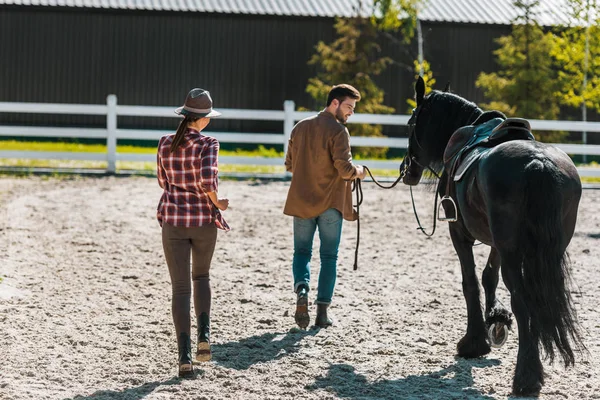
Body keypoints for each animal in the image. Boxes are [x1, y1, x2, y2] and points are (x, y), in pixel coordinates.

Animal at [400, 76, 584, 396]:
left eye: (411, 123)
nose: (407, 169)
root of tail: (538, 163)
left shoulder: (459, 233)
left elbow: (470, 282)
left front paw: (474, 342)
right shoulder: (498, 243)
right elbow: (488, 276)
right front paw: (496, 320)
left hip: (512, 253)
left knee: (523, 301)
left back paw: (526, 377)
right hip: (545, 251)